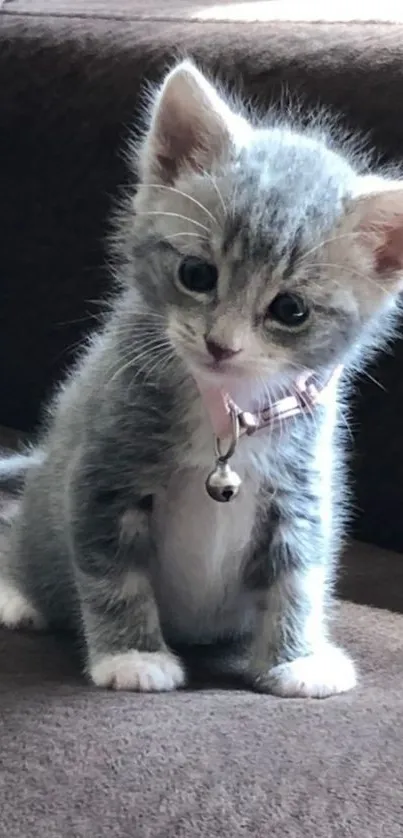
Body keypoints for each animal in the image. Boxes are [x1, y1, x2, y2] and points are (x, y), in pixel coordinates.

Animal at [0, 62, 403, 700]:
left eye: (290, 310)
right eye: (197, 274)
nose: (221, 344)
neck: (226, 406)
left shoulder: (301, 486)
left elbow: (297, 578)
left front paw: (299, 658)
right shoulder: (103, 467)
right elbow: (111, 570)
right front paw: (133, 655)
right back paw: (18, 592)